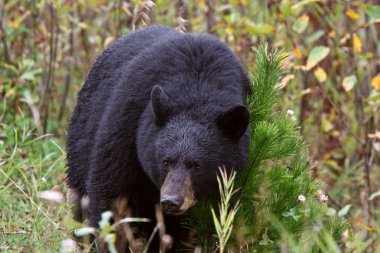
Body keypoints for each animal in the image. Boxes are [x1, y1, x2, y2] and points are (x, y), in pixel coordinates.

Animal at [67, 24, 251, 250]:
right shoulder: (127, 123)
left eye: (197, 166)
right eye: (166, 161)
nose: (171, 200)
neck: (198, 88)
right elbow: (110, 196)